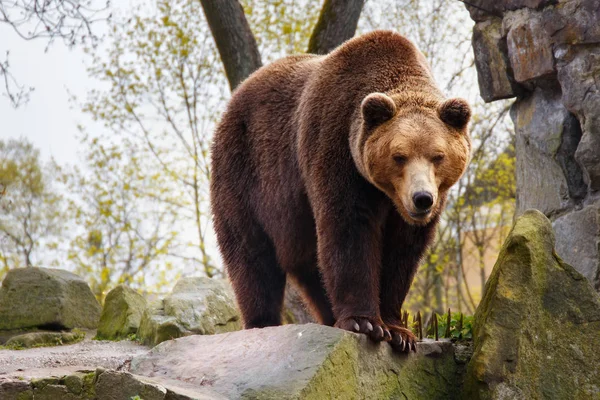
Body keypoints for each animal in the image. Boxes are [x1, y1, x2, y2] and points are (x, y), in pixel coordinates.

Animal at [210, 29, 468, 352]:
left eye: (438, 156)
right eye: (399, 156)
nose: (422, 199)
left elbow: (403, 250)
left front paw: (399, 332)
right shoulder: (336, 145)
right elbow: (348, 227)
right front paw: (366, 323)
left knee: (311, 266)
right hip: (246, 173)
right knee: (252, 255)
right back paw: (262, 321)